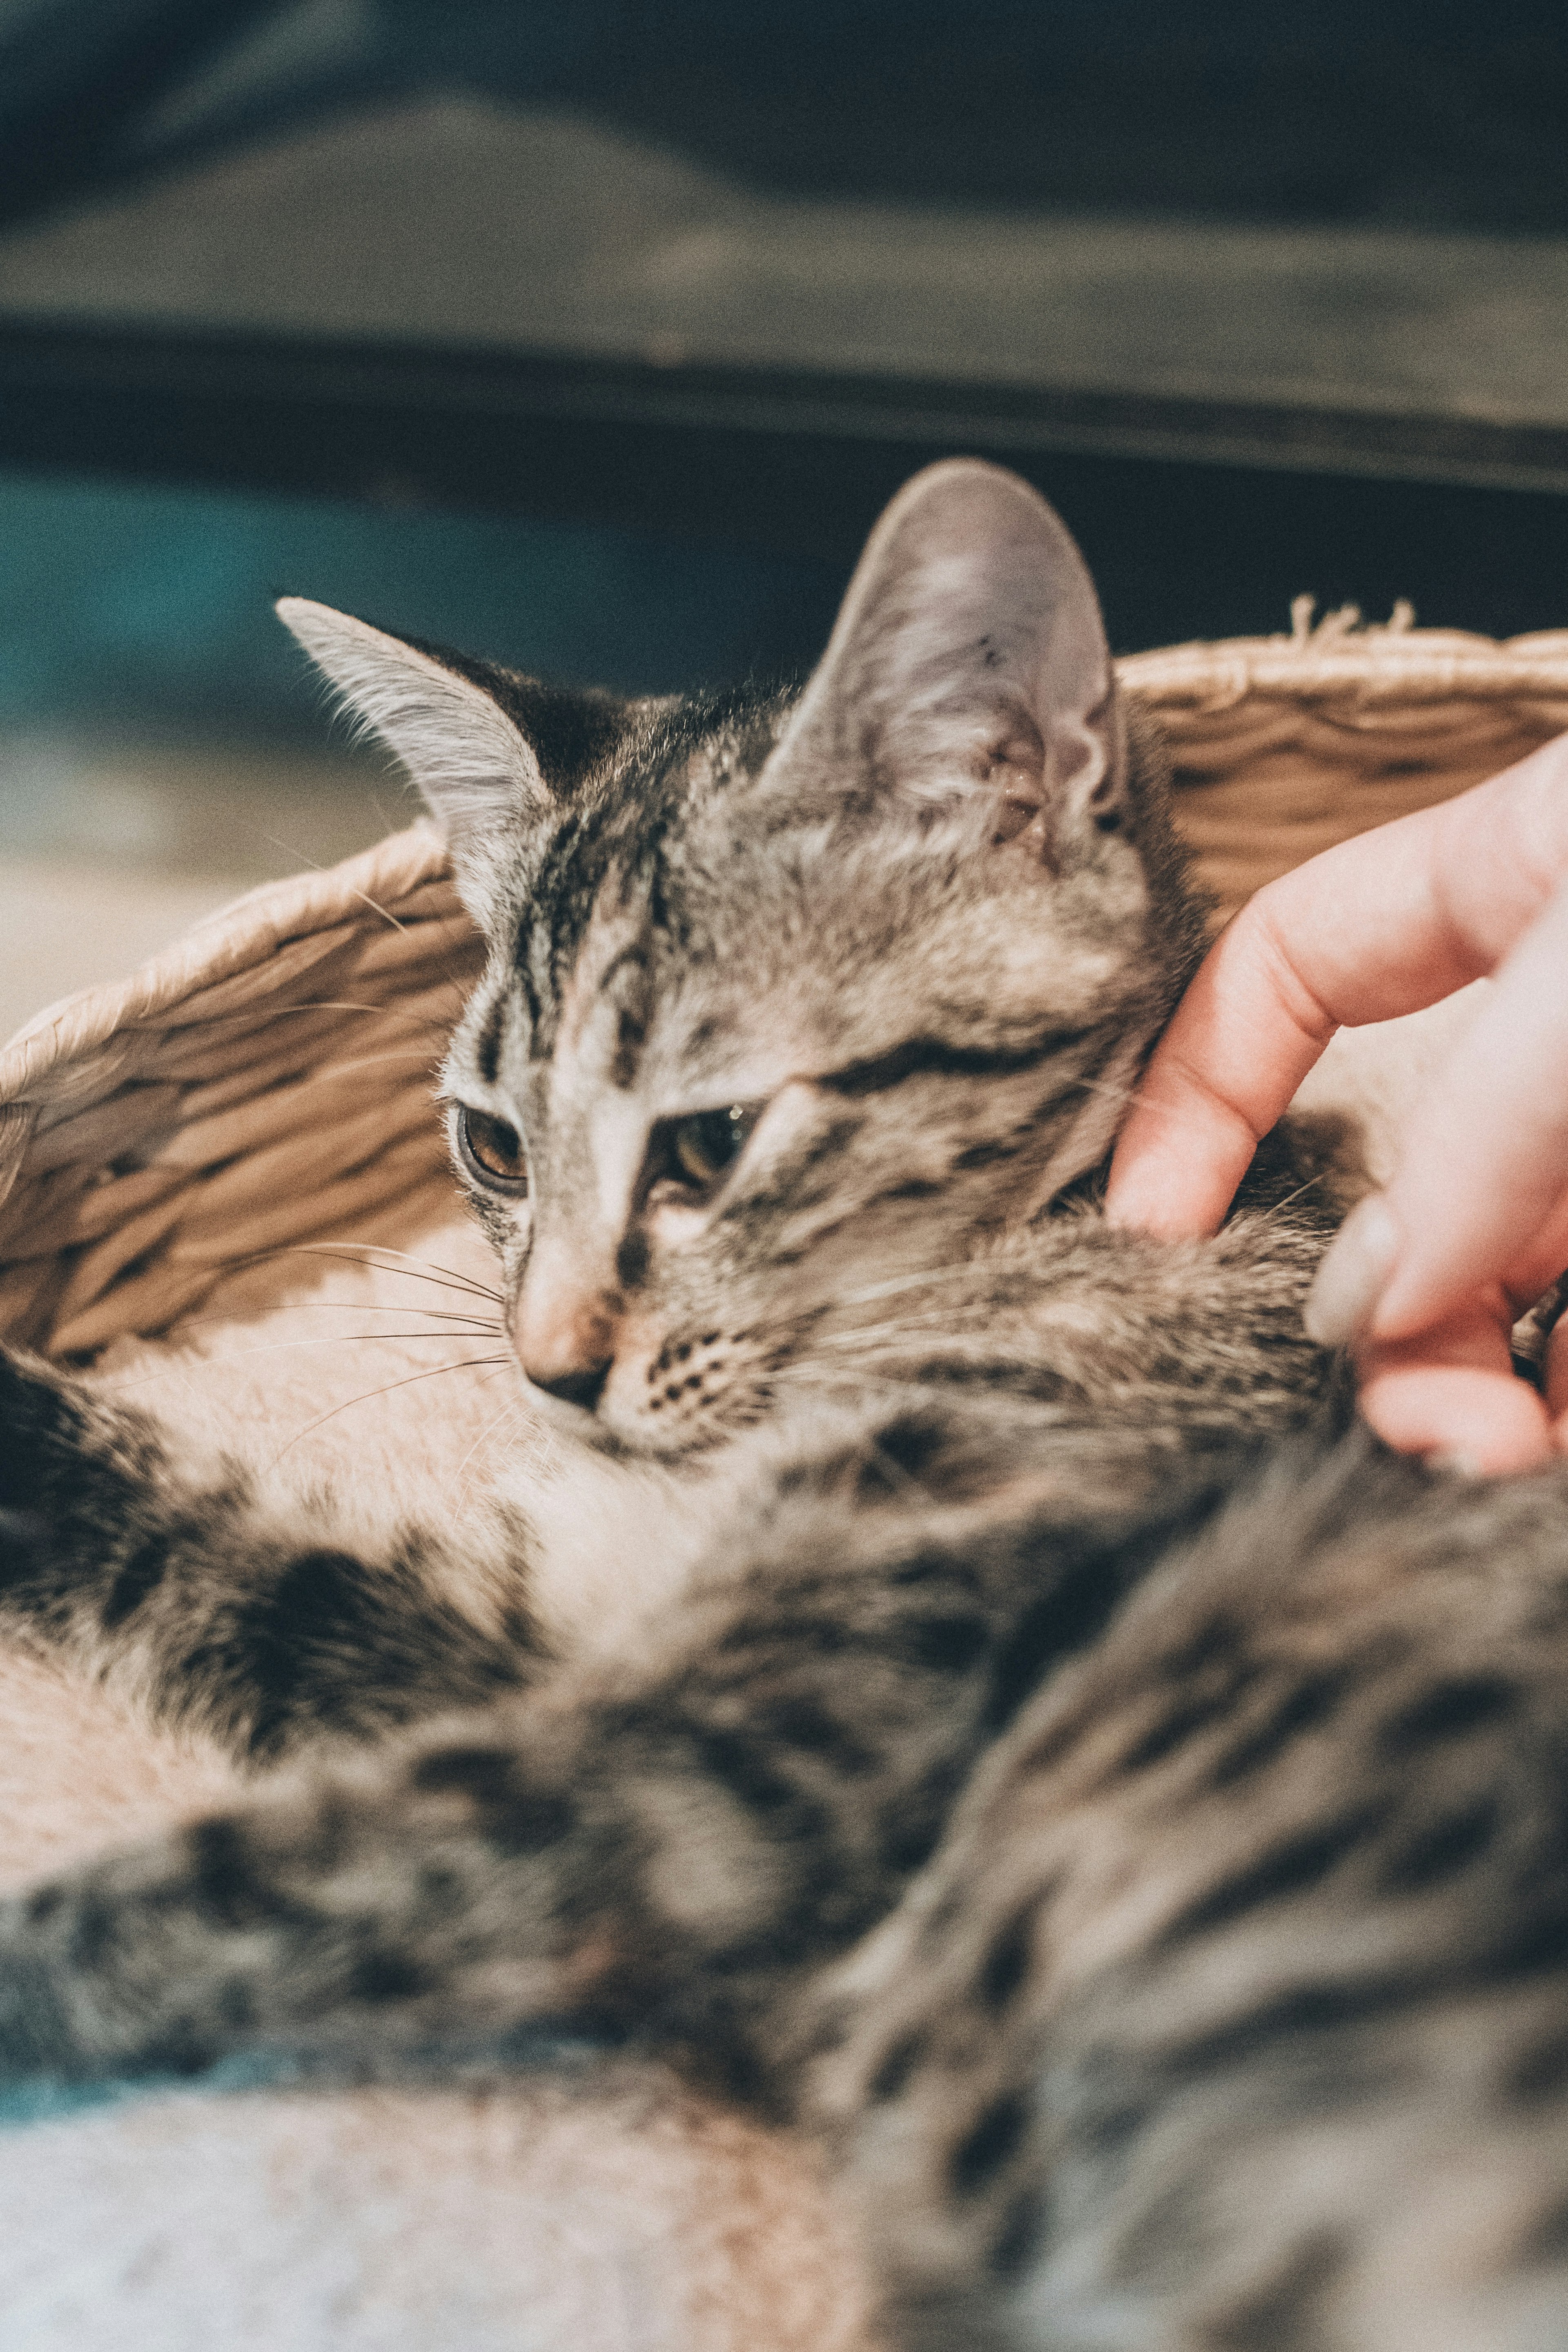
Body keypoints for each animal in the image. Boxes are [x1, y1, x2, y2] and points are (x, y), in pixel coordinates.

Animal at [3, 463, 1568, 2352]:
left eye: (709, 1143)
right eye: (493, 1145)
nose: (551, 1365)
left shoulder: (726, 1769)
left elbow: (248, 1846)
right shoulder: (545, 1631)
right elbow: (248, 1566)